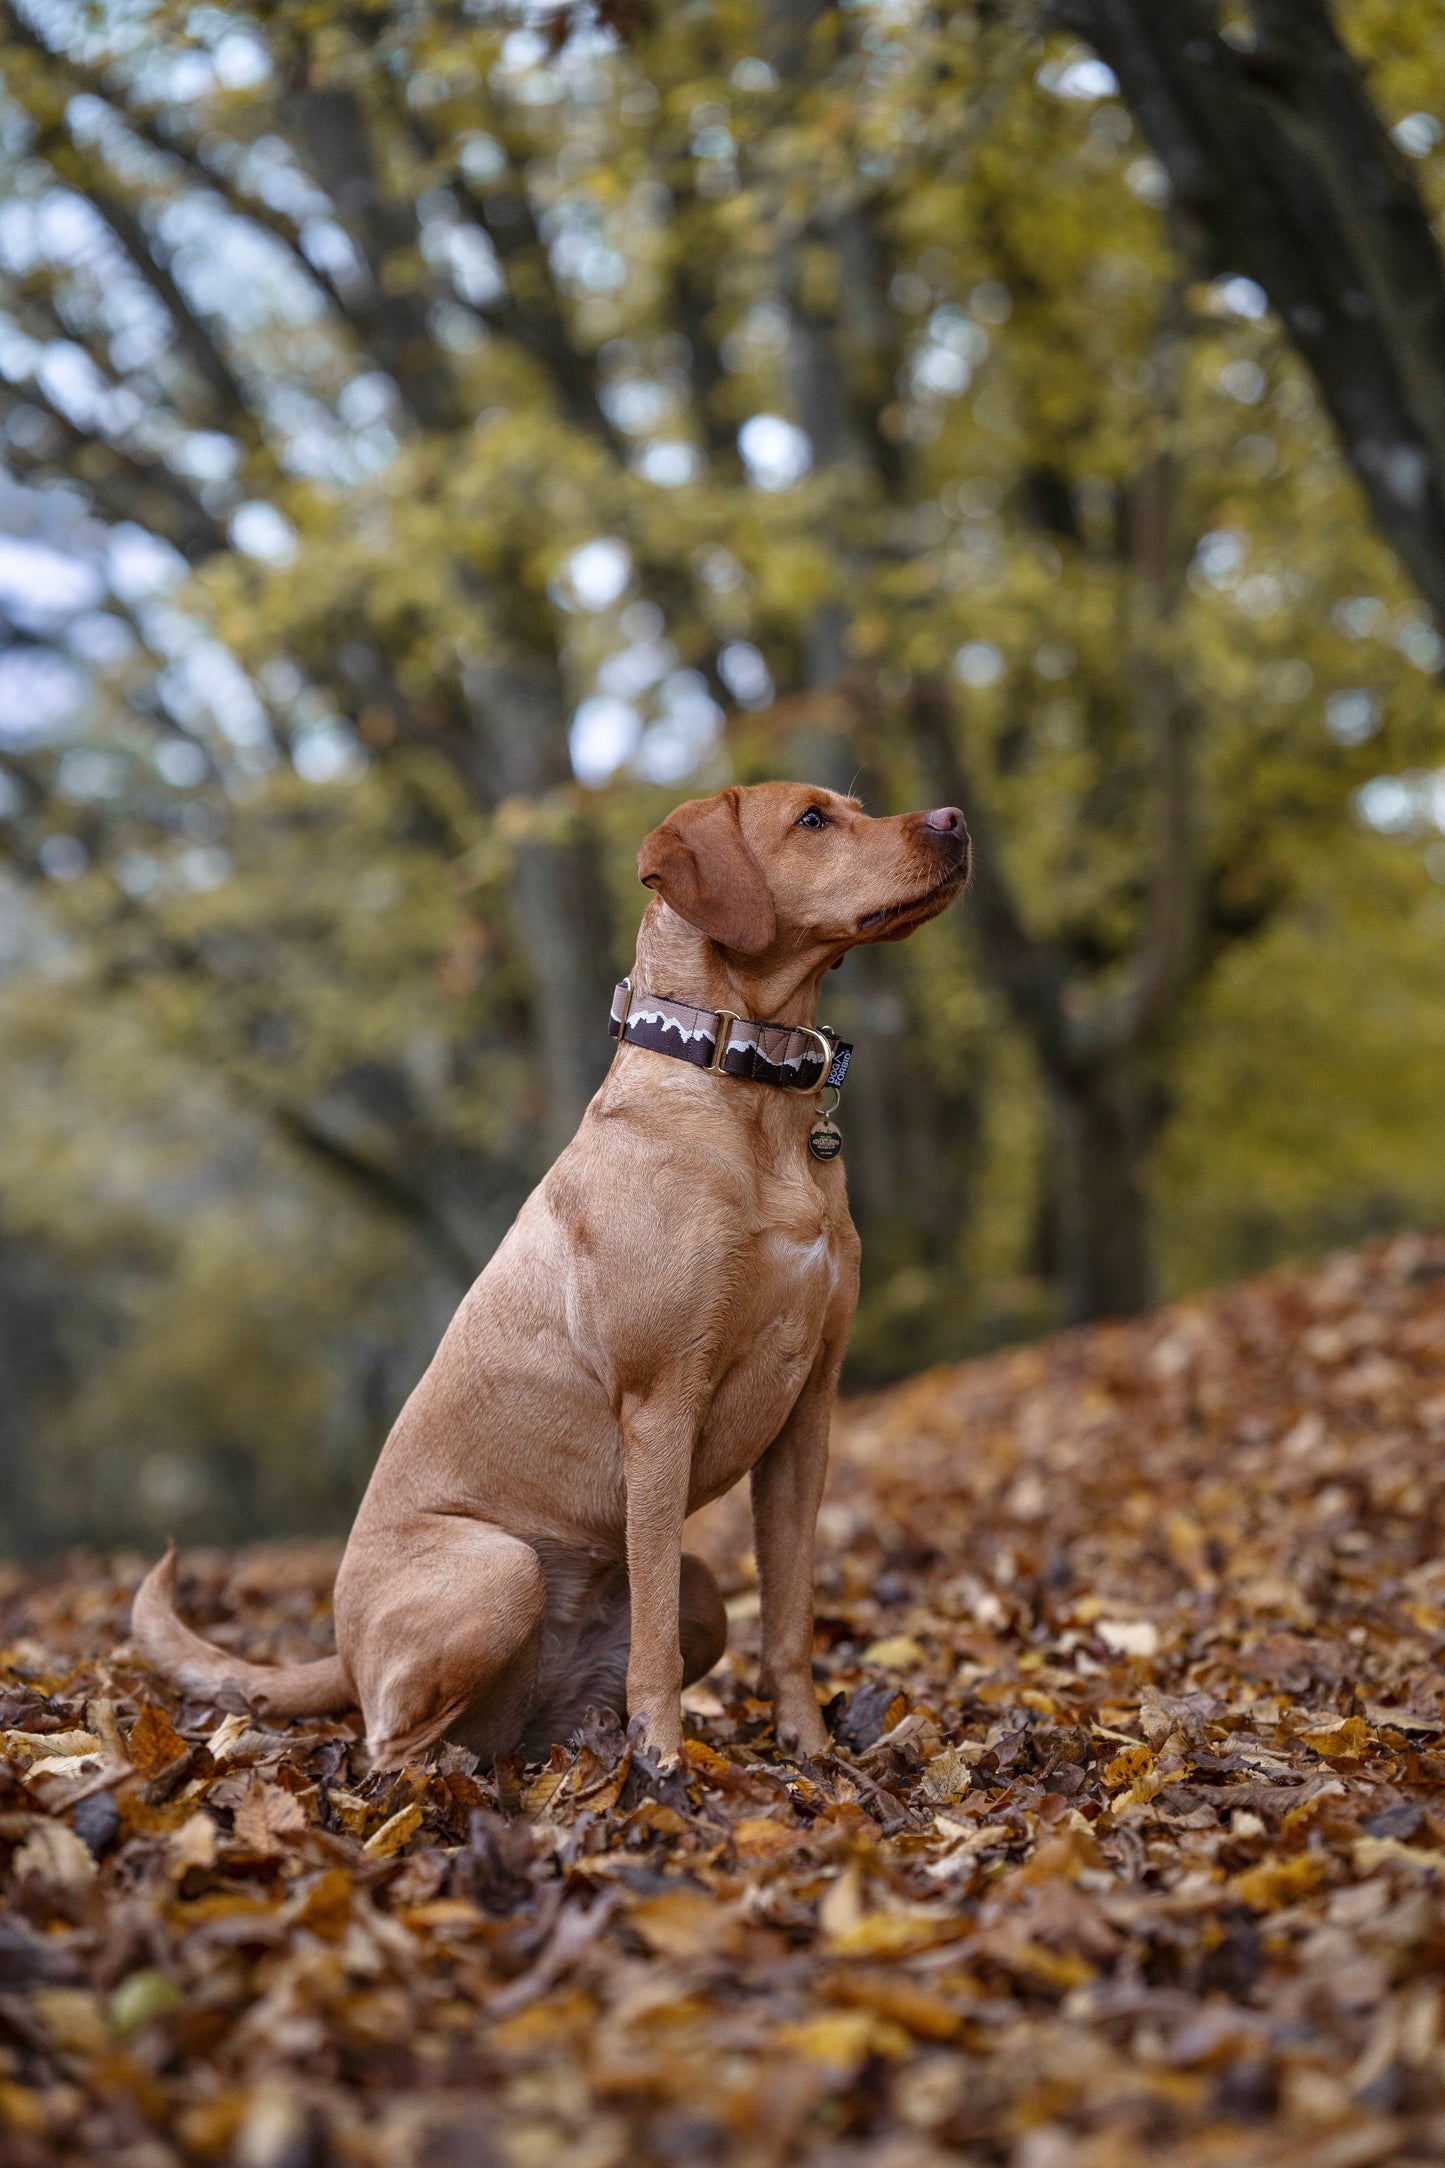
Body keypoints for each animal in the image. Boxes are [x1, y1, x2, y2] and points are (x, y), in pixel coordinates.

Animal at [135, 789, 970, 1769]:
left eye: (854, 807)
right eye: (810, 820)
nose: (954, 819)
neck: (750, 1092)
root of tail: (340, 1653)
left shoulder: (807, 1412)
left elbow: (790, 1615)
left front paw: (806, 1750)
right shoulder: (661, 1404)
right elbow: (653, 1640)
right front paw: (664, 1767)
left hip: (698, 1594)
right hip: (501, 1569)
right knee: (388, 1748)